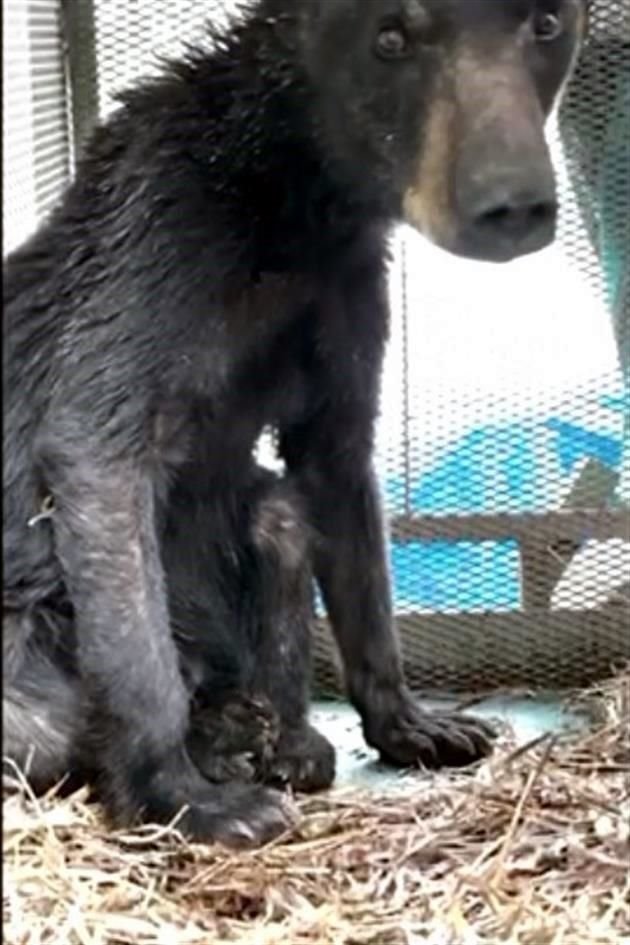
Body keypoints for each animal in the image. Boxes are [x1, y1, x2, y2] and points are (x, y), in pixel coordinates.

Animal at [3, 0, 586, 846]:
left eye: (547, 25)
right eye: (390, 38)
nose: (511, 204)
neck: (290, 201)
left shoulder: (345, 302)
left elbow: (346, 512)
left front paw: (405, 721)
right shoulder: (159, 225)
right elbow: (96, 456)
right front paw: (181, 794)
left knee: (277, 518)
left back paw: (278, 735)